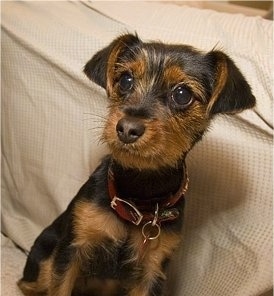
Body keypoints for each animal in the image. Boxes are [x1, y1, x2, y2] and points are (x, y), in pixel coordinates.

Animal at [18, 33, 256, 294]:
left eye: (182, 94)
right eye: (125, 80)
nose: (127, 128)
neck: (138, 193)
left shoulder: (153, 269)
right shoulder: (72, 249)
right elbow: (60, 286)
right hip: (45, 261)